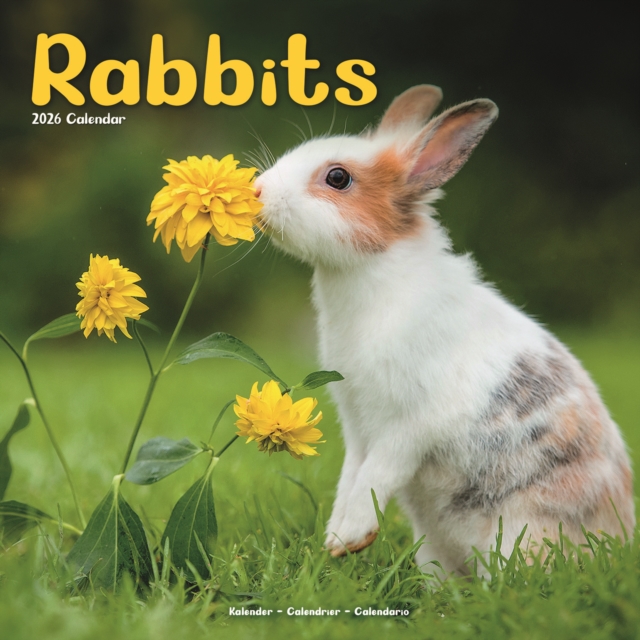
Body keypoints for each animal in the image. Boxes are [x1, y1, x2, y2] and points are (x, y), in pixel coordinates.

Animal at [253, 85, 635, 574]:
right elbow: (352, 475)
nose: (257, 191)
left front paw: (347, 537)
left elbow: (376, 474)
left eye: (337, 178)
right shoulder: (356, 424)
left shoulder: (407, 424)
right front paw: (337, 539)